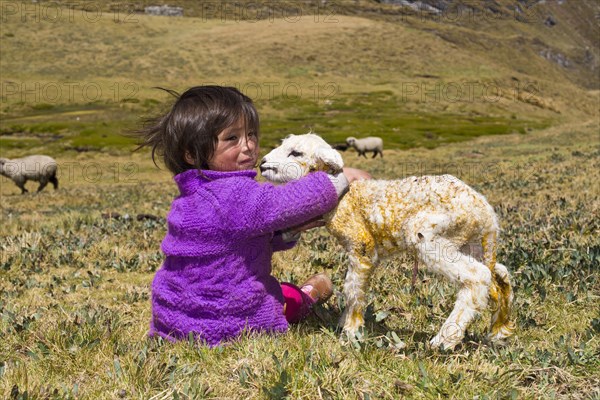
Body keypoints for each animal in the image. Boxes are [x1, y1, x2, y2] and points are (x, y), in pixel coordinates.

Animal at [262, 134, 516, 350]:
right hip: (470, 242)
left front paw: (350, 332)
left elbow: (353, 289)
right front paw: (345, 323)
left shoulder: (361, 245)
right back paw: (499, 332)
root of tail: (486, 213)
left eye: (296, 153)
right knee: (498, 277)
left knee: (477, 277)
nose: (262, 163)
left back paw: (444, 340)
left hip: (432, 233)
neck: (345, 199)